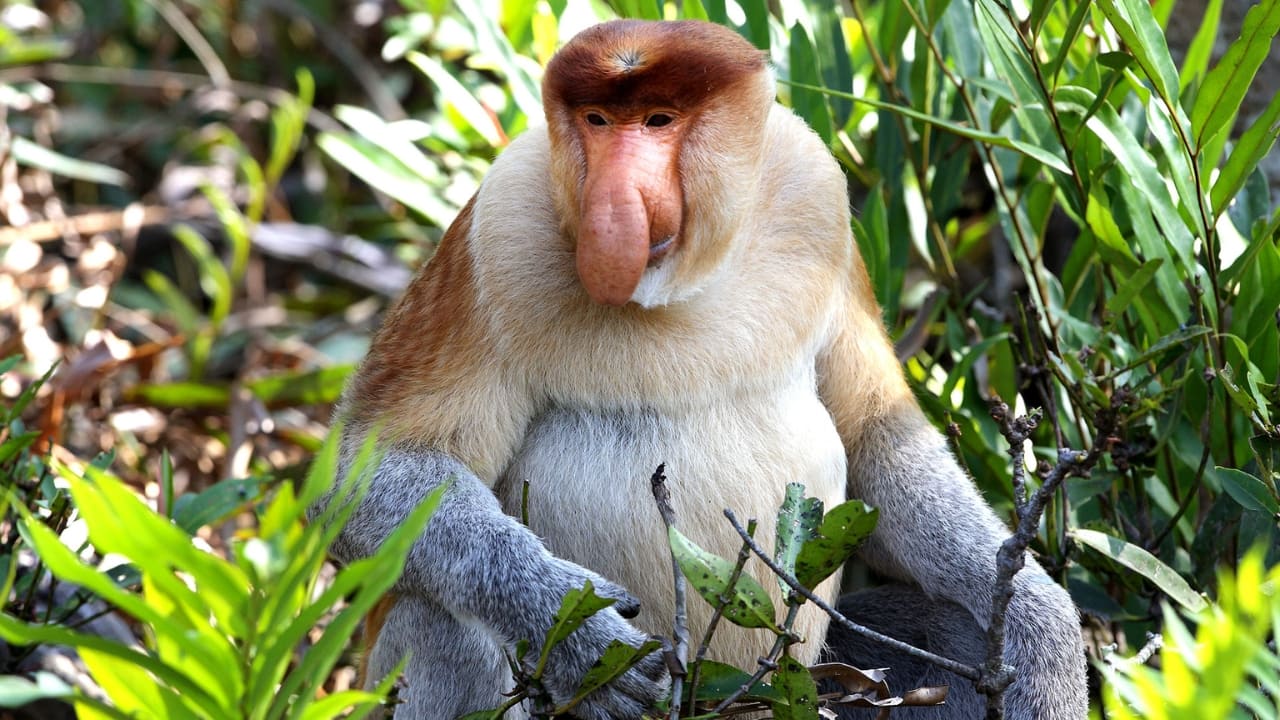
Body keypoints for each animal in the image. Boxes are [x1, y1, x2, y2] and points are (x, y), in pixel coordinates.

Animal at [317, 19, 1089, 720]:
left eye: (659, 120)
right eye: (598, 121)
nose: (613, 200)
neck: (679, 286)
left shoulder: (820, 203)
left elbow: (878, 435)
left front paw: (1043, 623)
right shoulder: (492, 235)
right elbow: (370, 471)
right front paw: (581, 633)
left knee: (944, 627)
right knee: (439, 616)